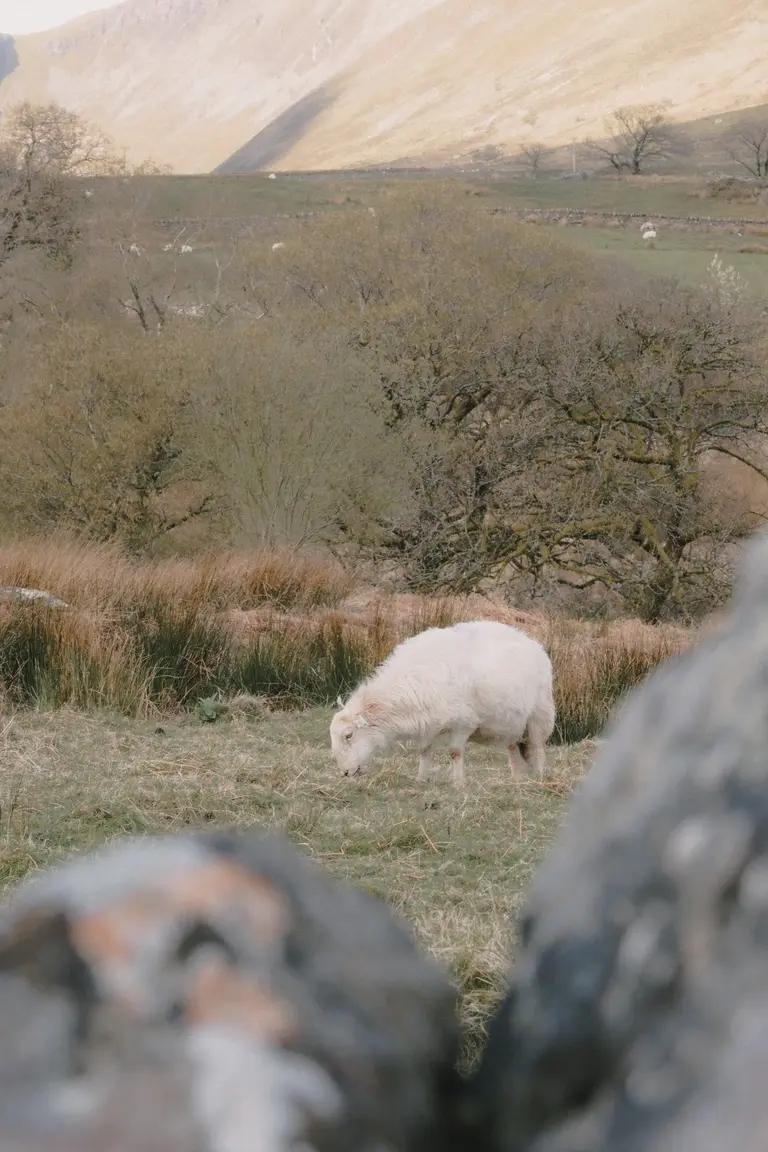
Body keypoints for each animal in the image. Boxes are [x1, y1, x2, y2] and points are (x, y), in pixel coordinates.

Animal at [330, 620, 556, 787]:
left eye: (349, 735)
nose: (346, 773)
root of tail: (533, 642)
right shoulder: (426, 724)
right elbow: (424, 750)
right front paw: (422, 779)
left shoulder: (463, 723)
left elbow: (455, 752)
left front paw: (458, 783)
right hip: (512, 724)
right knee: (513, 748)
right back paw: (518, 780)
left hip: (540, 715)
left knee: (538, 747)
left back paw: (540, 777)